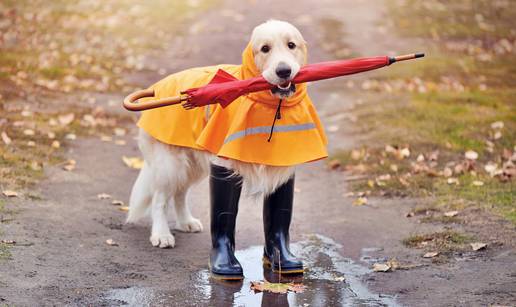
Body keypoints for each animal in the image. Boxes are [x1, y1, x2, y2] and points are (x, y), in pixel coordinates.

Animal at [127, 19, 312, 250]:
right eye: (265, 49)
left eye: (291, 45)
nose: (284, 71)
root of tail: (156, 89)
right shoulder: (223, 161)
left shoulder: (282, 163)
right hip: (170, 164)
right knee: (160, 198)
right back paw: (161, 234)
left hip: (192, 165)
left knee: (180, 193)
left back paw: (185, 222)